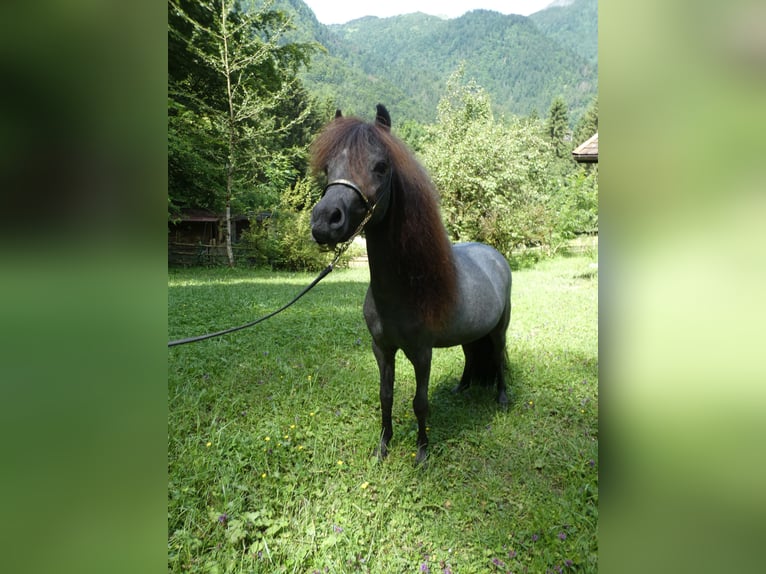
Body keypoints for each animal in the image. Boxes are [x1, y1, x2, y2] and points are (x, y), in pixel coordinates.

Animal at [308, 103, 512, 464]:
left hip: (499, 329)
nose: (324, 221)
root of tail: (494, 255)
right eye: (329, 168)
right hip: (472, 332)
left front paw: (422, 453)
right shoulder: (382, 349)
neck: (402, 291)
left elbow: (420, 402)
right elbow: (385, 396)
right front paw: (382, 449)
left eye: (380, 166)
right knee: (471, 355)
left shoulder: (421, 353)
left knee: (498, 356)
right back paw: (462, 387)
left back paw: (501, 398)